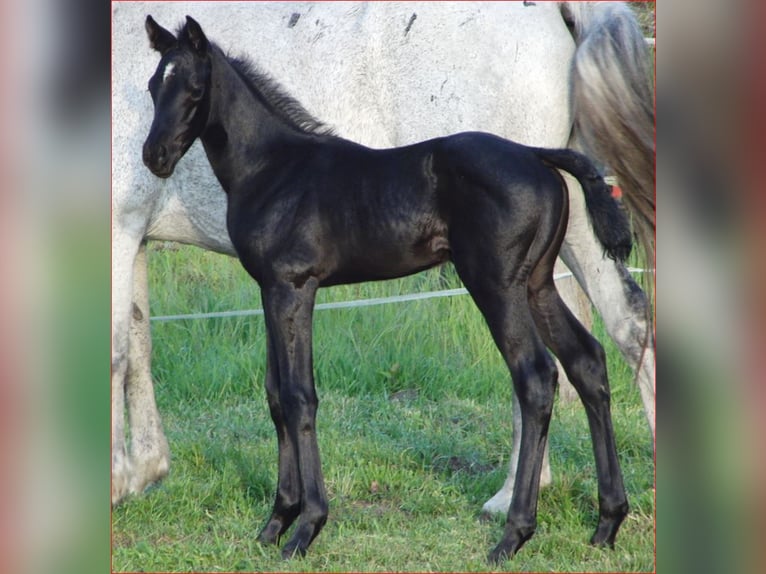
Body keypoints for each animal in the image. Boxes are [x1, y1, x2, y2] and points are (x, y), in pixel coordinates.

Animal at [111, 0, 656, 512]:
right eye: (153, 87)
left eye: (195, 90)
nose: (154, 156)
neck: (277, 165)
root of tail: (534, 155)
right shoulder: (258, 283)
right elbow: (210, 370)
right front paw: (154, 475)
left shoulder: (282, 283)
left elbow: (290, 393)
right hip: (541, 274)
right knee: (604, 342)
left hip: (497, 284)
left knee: (538, 374)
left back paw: (512, 511)